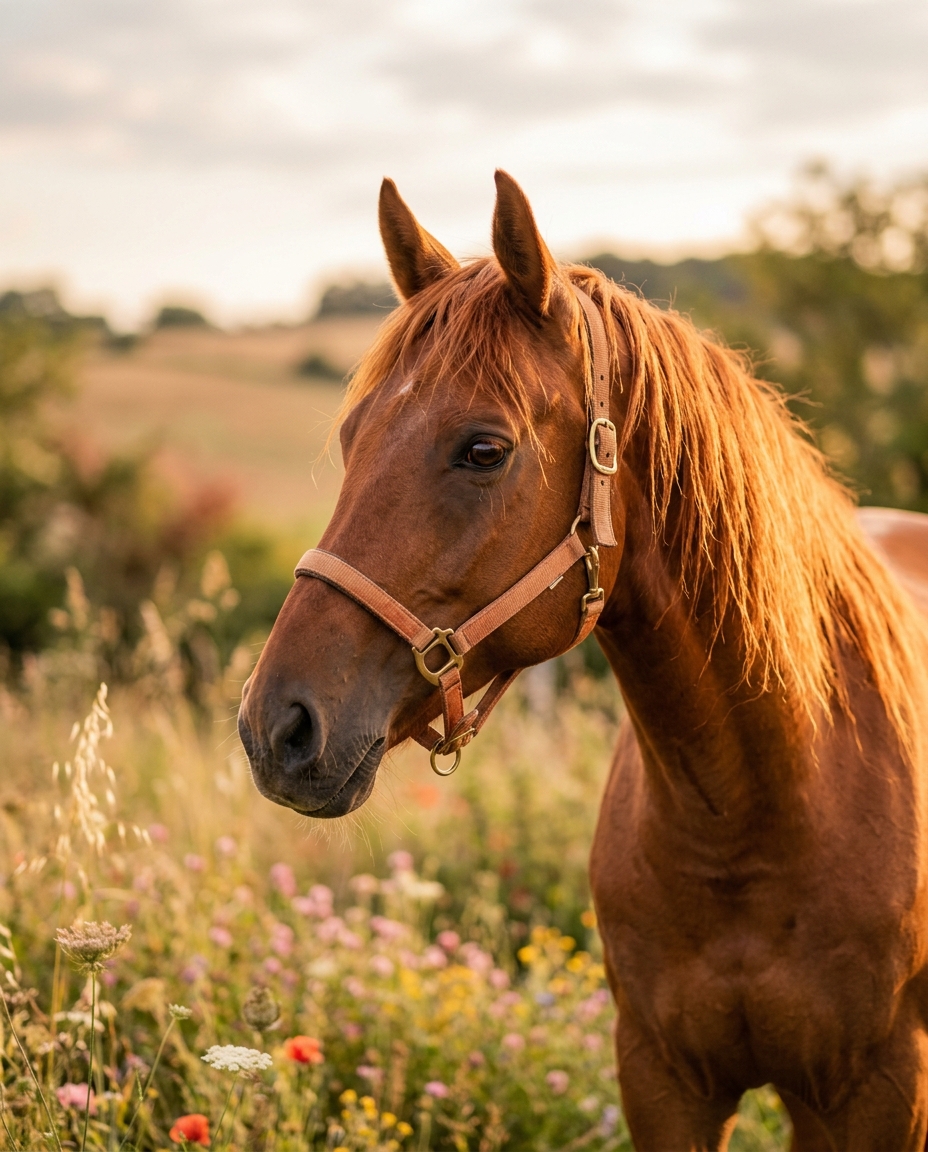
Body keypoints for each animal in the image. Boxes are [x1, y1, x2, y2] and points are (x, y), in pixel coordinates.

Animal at [238, 170, 928, 1150]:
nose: (278, 728)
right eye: (351, 438)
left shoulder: (877, 1094)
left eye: (484, 449)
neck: (755, 812)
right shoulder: (660, 1080)